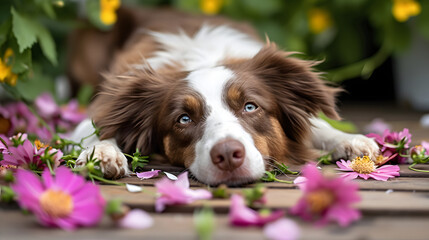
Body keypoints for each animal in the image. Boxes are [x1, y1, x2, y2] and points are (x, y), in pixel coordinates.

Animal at [69, 7, 378, 184]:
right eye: (183, 119)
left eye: (250, 107)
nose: (228, 155)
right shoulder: (101, 108)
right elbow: (98, 130)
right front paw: (103, 153)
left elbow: (318, 126)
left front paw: (350, 140)